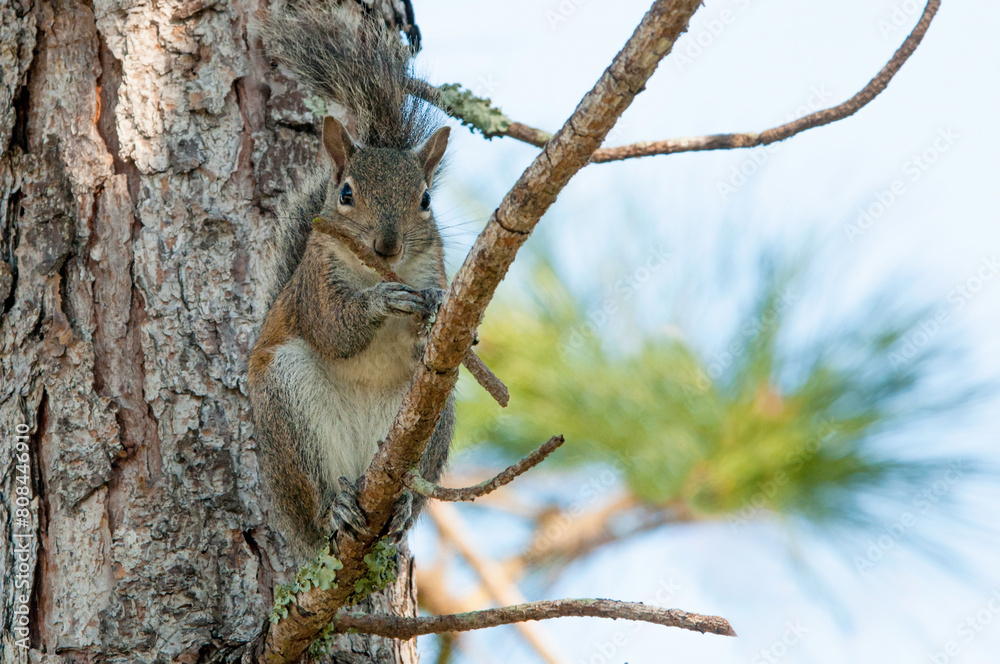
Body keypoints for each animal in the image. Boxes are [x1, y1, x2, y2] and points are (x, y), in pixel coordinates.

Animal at [250, 2, 454, 560]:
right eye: (345, 193)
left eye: (425, 199)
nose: (388, 246)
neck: (375, 269)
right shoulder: (314, 284)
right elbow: (333, 327)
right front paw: (382, 300)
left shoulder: (435, 266)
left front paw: (433, 307)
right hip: (289, 409)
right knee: (317, 495)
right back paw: (335, 509)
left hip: (434, 420)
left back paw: (401, 509)